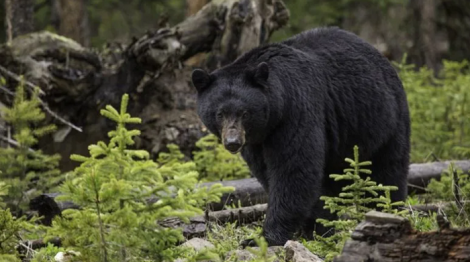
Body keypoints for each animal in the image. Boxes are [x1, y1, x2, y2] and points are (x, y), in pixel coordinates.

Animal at [191, 27, 408, 247]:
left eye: (245, 113)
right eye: (220, 113)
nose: (233, 142)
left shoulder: (296, 111)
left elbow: (293, 169)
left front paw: (264, 238)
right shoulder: (257, 141)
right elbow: (269, 172)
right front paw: (318, 226)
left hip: (384, 120)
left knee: (387, 172)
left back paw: (387, 210)